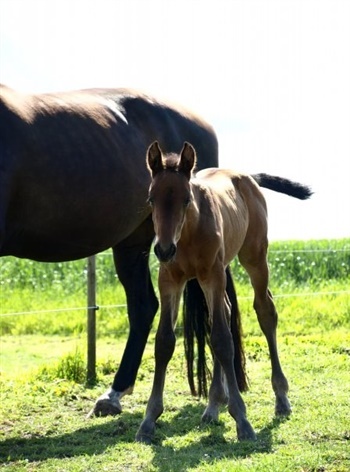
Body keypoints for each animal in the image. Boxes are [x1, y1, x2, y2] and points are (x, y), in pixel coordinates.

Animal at [137, 142, 312, 444]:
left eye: (186, 199)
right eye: (151, 199)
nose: (164, 249)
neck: (188, 235)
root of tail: (248, 177)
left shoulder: (213, 275)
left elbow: (221, 340)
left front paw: (242, 419)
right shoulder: (169, 280)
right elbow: (164, 341)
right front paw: (148, 420)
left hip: (254, 258)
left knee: (265, 311)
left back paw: (280, 398)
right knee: (225, 313)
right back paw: (213, 405)